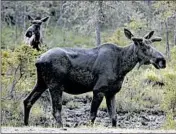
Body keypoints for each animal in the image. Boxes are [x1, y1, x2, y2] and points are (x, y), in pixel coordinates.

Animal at [23, 28, 166, 127]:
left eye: (152, 44)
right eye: (143, 46)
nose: (162, 60)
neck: (122, 67)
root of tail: (38, 60)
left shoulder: (111, 92)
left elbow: (114, 118)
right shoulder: (99, 90)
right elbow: (92, 116)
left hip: (41, 83)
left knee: (27, 101)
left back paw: (26, 124)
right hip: (55, 85)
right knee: (56, 111)